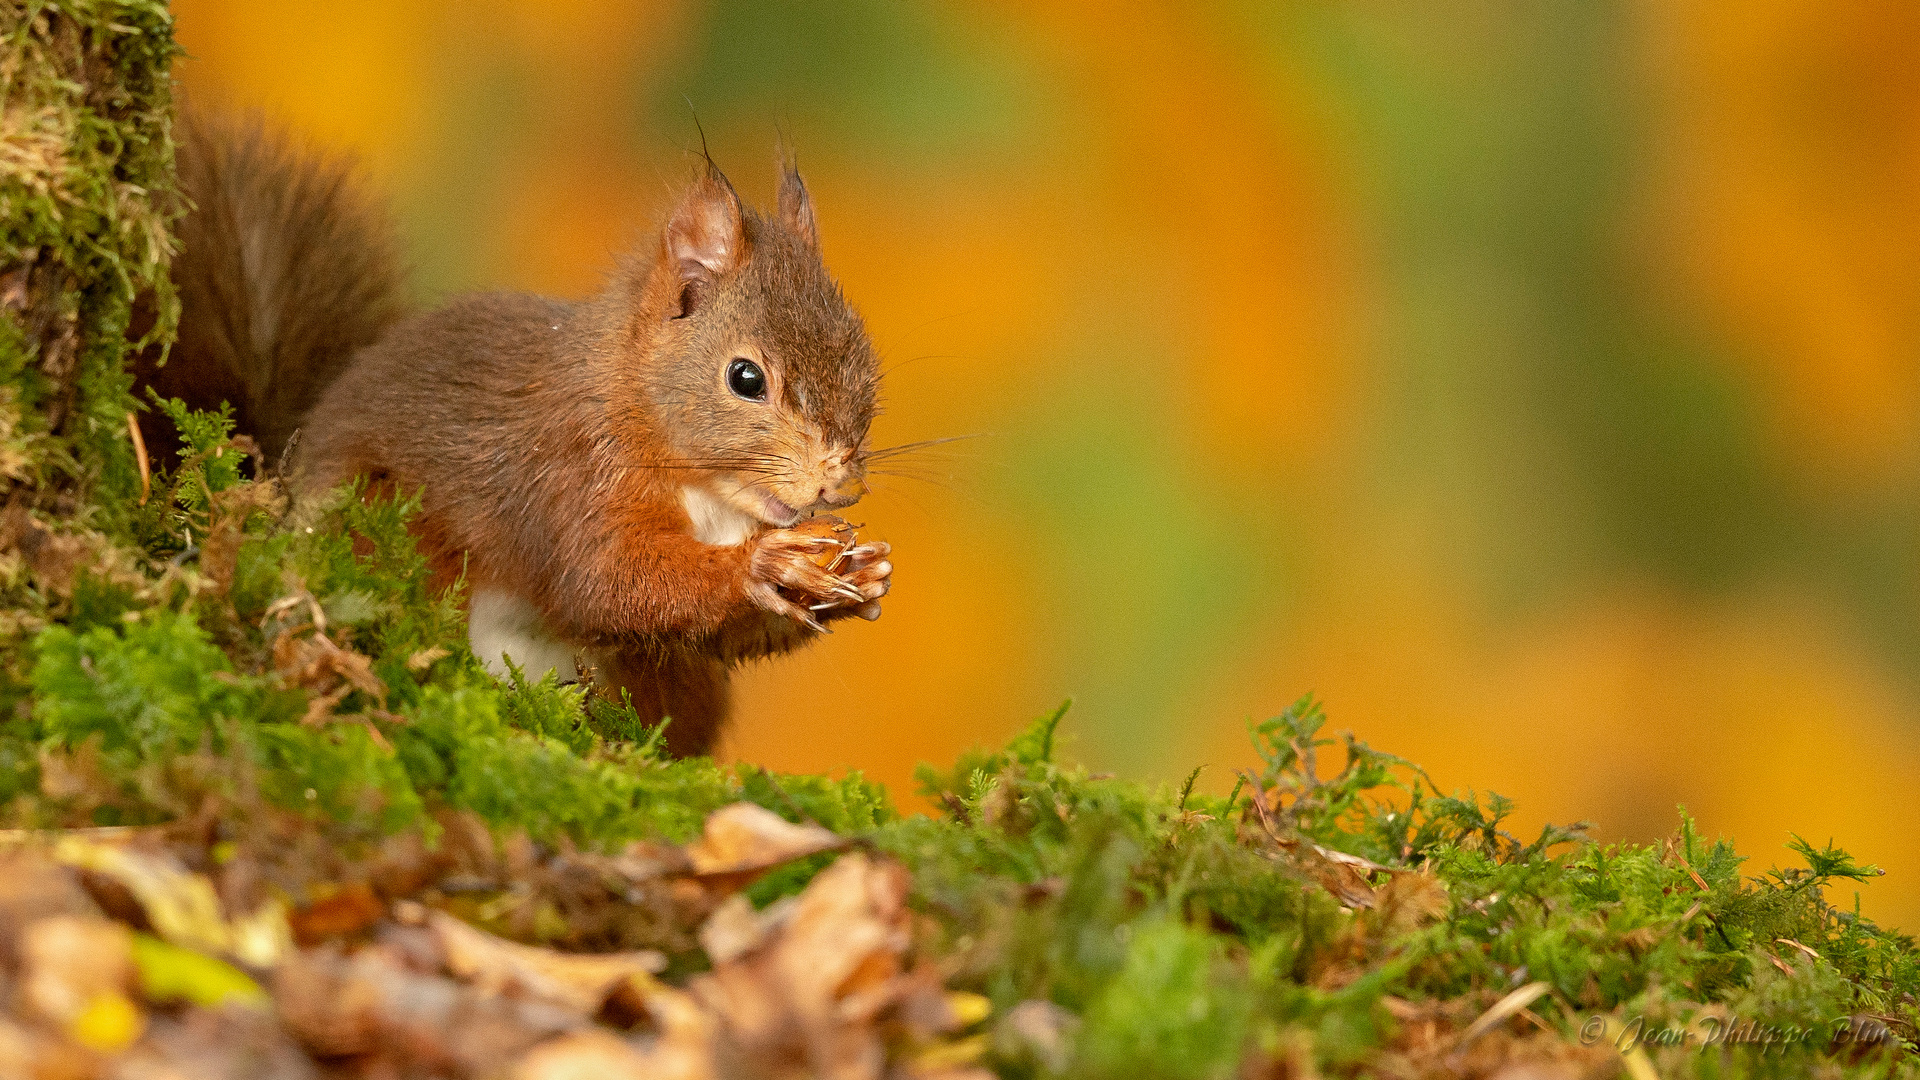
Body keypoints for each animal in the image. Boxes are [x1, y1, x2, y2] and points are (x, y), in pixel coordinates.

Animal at [142, 109, 890, 749]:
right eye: (745, 378)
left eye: (865, 359)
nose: (838, 481)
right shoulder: (569, 475)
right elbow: (607, 580)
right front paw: (762, 564)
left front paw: (860, 575)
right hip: (384, 532)